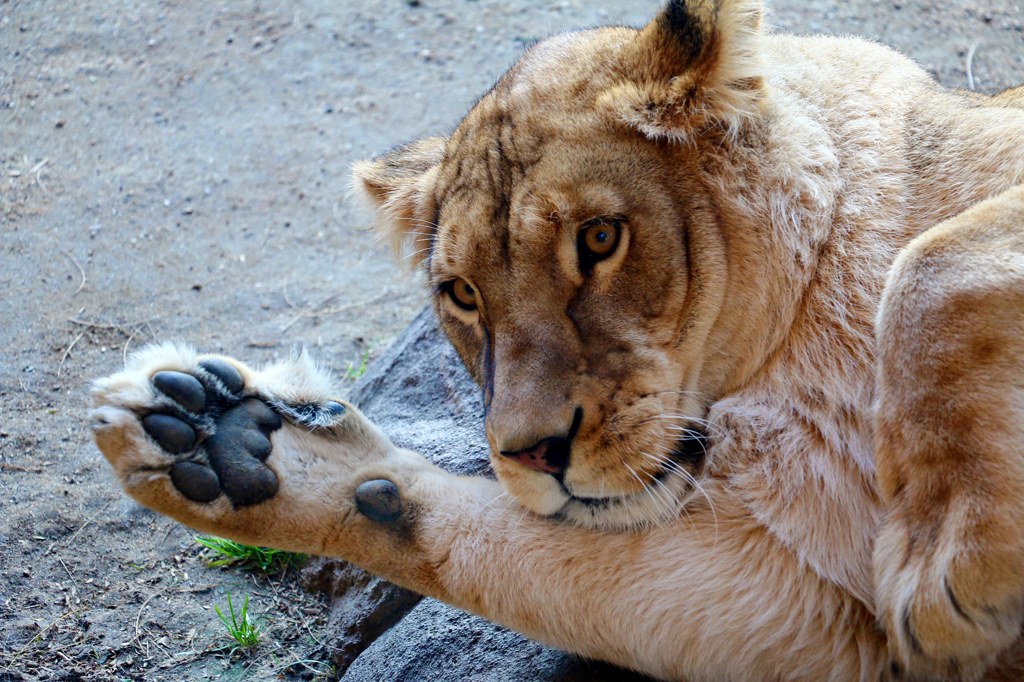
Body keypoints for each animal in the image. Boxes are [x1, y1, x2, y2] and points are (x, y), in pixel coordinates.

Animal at [88, 0, 1024, 675]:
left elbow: (932, 265)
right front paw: (228, 442)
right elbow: (465, 546)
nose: (533, 452)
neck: (781, 362)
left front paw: (949, 567)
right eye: (462, 294)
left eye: (600, 239)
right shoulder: (810, 609)